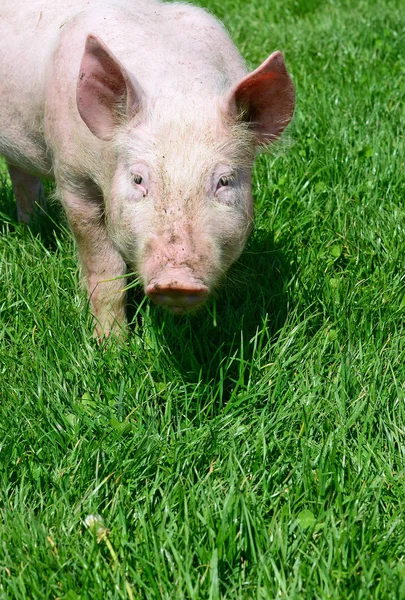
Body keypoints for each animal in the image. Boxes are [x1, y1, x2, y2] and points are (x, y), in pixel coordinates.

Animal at [0, 0, 294, 338]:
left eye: (224, 181)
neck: (178, 91)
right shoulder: (72, 177)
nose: (177, 281)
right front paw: (112, 345)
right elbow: (105, 272)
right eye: (138, 179)